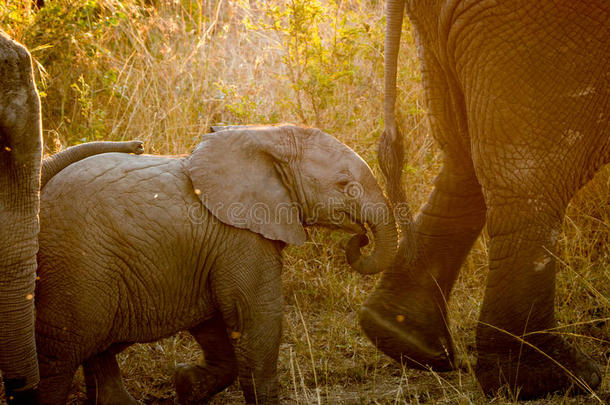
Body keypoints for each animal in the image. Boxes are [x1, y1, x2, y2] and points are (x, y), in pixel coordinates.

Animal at [34, 124, 394, 404]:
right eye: (345, 185)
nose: (361, 237)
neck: (268, 136)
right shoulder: (239, 238)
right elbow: (258, 316)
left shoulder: (206, 252)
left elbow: (213, 324)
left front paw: (185, 385)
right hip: (78, 267)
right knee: (60, 356)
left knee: (94, 349)